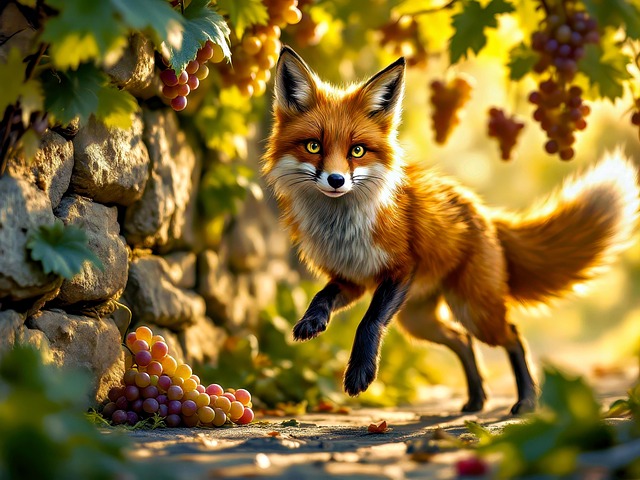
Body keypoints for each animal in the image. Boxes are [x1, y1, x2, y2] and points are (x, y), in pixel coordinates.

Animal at [262, 46, 640, 414]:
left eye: (357, 150)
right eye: (314, 146)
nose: (337, 180)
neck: (342, 227)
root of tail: (481, 209)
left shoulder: (402, 268)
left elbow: (368, 322)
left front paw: (359, 373)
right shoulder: (352, 279)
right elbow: (322, 296)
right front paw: (312, 321)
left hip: (474, 311)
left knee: (512, 335)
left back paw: (526, 401)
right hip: (419, 320)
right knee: (462, 340)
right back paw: (476, 399)